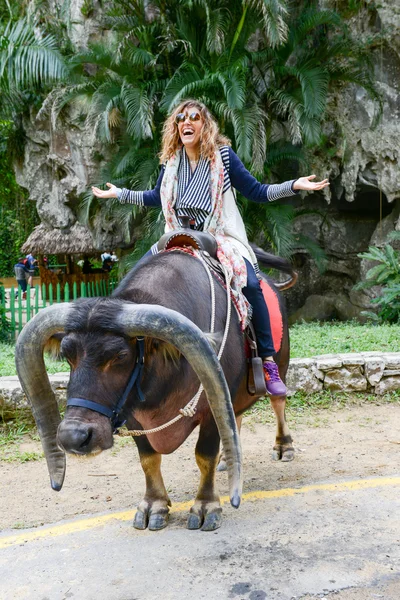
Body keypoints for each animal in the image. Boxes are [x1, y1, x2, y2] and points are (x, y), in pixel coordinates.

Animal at [16, 248, 294, 528]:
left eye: (120, 356)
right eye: (67, 355)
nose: (73, 437)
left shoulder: (211, 408)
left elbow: (204, 456)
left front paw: (206, 505)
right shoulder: (132, 415)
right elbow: (148, 459)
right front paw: (154, 504)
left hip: (279, 367)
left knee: (277, 403)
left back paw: (284, 446)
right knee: (234, 416)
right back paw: (228, 458)